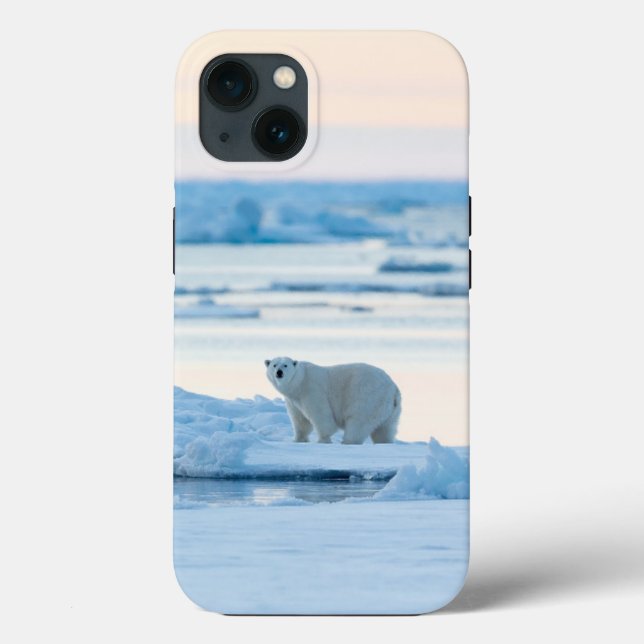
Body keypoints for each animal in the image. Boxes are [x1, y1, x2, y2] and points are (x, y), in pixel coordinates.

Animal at [264, 357, 401, 444]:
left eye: (285, 365)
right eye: (274, 365)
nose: (279, 372)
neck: (299, 381)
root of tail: (393, 388)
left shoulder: (312, 389)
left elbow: (321, 415)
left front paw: (322, 440)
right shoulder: (293, 400)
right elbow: (300, 420)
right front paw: (298, 439)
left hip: (368, 397)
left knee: (358, 422)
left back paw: (348, 441)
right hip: (389, 409)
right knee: (385, 429)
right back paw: (384, 442)